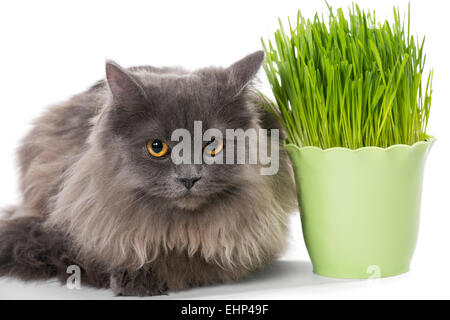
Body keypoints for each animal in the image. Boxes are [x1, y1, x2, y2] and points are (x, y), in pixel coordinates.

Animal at [0, 50, 298, 296]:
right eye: (157, 147)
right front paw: (134, 276)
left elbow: (198, 261)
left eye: (212, 145)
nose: (189, 178)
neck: (181, 229)